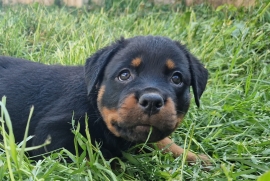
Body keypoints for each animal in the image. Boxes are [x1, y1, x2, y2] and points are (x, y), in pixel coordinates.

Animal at [0, 35, 209, 164]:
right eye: (124, 75)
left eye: (176, 78)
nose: (151, 101)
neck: (94, 105)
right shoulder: (49, 135)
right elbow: (92, 158)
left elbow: (163, 141)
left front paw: (197, 158)